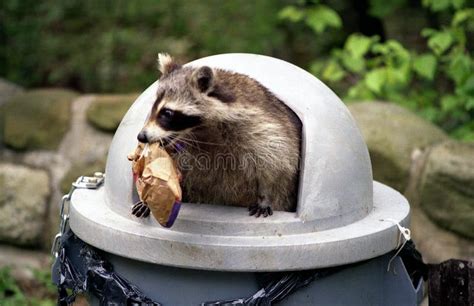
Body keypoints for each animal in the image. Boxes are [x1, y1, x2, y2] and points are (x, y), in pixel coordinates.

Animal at [135, 54, 302, 218]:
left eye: (167, 113)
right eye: (153, 108)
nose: (141, 136)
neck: (198, 131)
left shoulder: (264, 129)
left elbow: (275, 166)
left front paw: (265, 196)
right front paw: (150, 197)